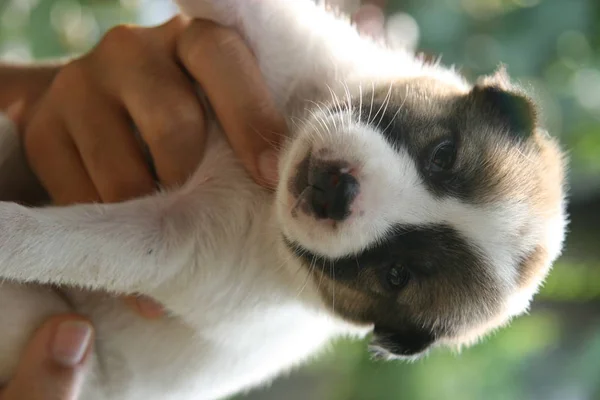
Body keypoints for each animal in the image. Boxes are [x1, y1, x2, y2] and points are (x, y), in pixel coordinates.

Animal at [0, 0, 568, 400]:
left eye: (397, 275)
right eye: (443, 154)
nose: (336, 189)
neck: (267, 191)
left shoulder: (173, 241)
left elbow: (67, 243)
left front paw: (12, 232)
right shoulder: (288, 39)